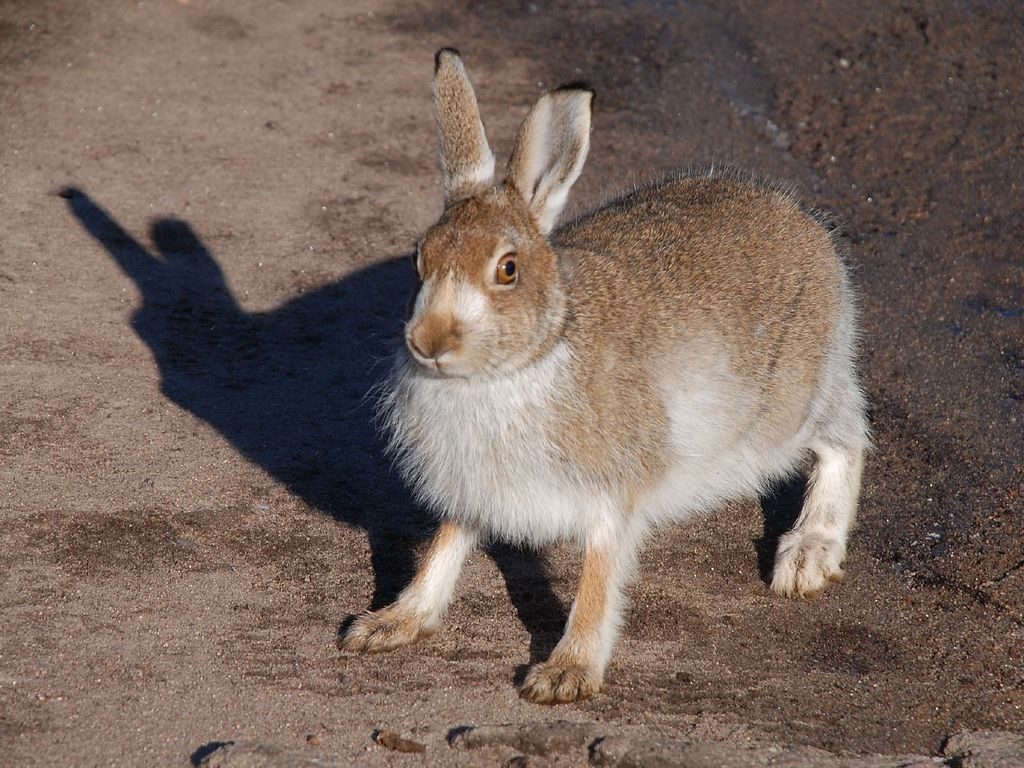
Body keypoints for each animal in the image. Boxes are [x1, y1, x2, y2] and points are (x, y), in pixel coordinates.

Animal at [341, 48, 869, 704]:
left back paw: (807, 555)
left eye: (507, 270)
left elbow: (599, 578)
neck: (520, 363)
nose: (429, 342)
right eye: (420, 259)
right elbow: (444, 548)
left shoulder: (612, 491)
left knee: (846, 438)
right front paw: (391, 622)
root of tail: (806, 225)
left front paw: (565, 674)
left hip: (789, 407)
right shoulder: (473, 489)